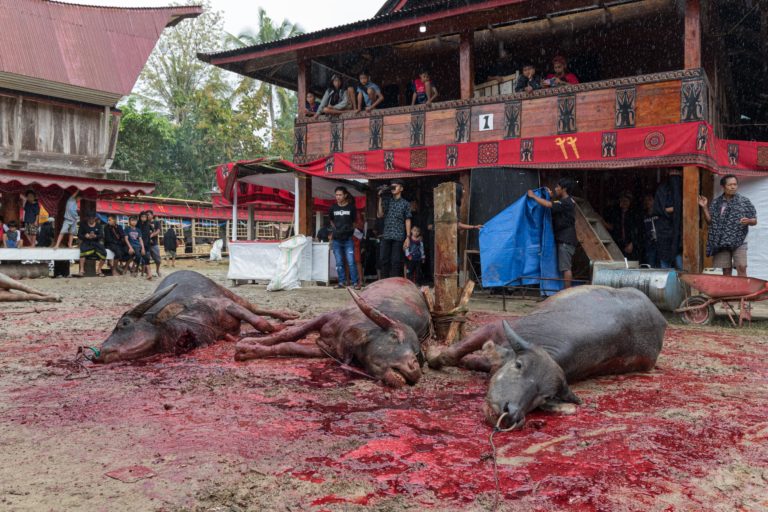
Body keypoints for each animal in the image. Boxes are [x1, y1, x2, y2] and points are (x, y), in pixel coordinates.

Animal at [93, 272, 300, 364]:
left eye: (125, 323)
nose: (98, 353)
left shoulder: (227, 304)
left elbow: (260, 322)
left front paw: (283, 328)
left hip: (232, 295)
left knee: (257, 309)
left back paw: (288, 315)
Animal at [236, 280, 432, 388]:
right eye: (394, 336)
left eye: (416, 352)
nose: (414, 368)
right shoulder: (326, 317)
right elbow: (290, 335)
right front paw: (247, 343)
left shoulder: (326, 350)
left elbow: (288, 346)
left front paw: (249, 350)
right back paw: (289, 321)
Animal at [426, 286, 664, 430]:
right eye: (519, 365)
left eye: (545, 396)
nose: (511, 413)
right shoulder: (494, 328)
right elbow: (450, 354)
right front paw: (432, 357)